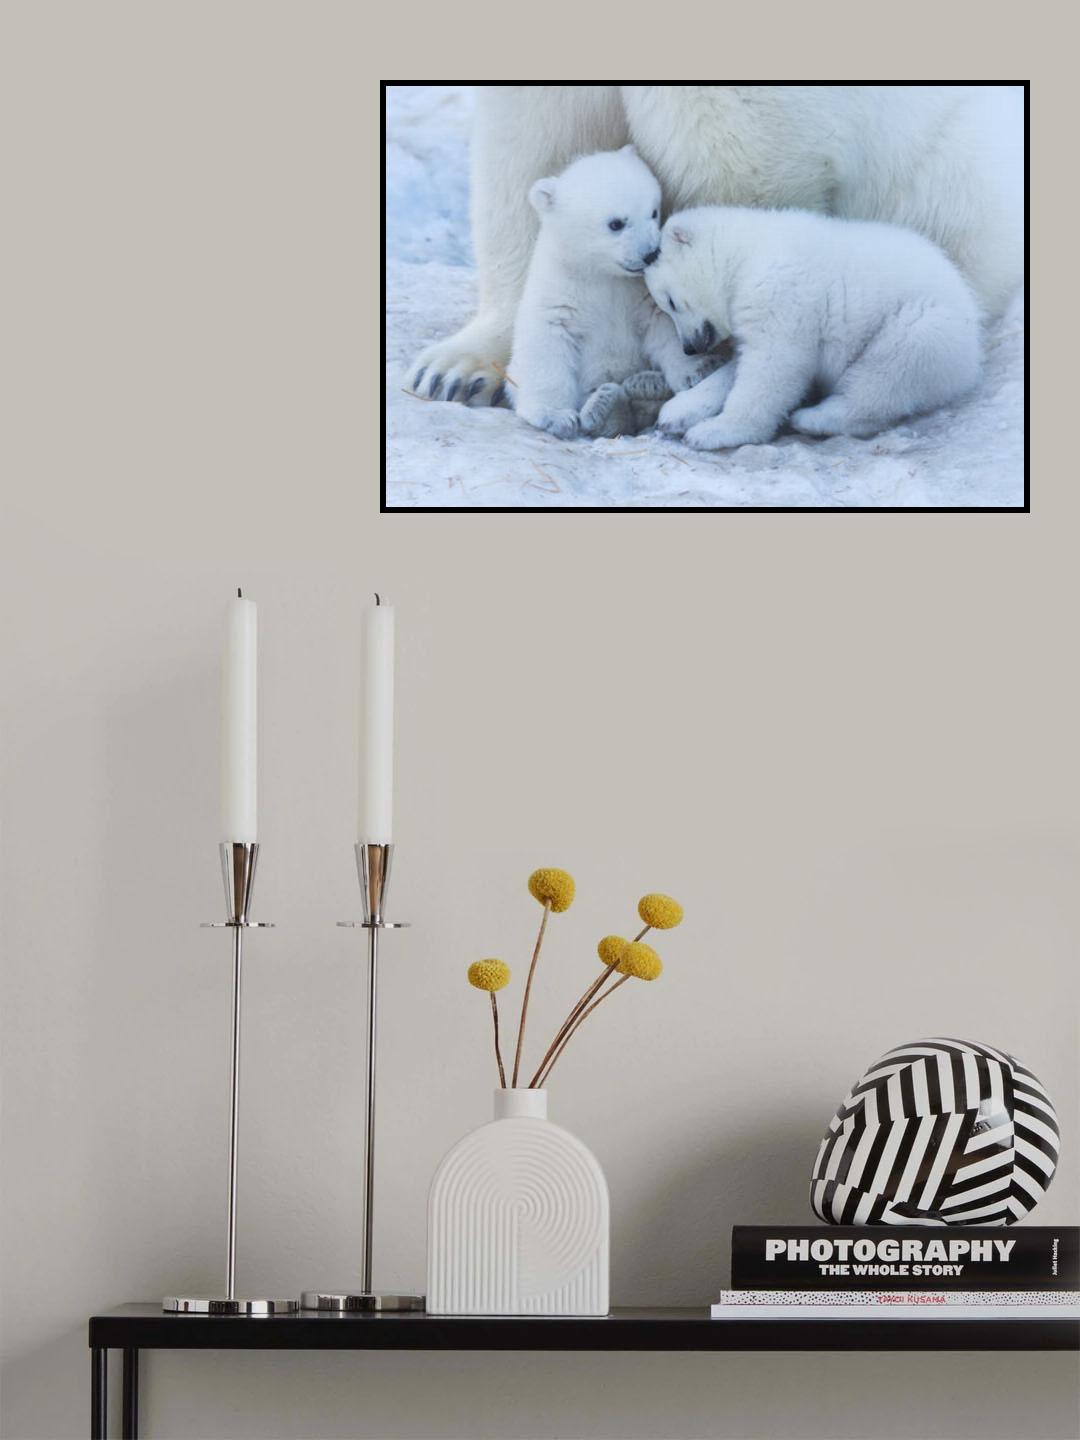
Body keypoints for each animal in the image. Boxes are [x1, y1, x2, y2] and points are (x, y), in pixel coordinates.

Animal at [507, 147, 714, 440]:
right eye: (616, 223)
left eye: (654, 212)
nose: (650, 253)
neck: (603, 275)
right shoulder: (559, 293)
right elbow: (546, 341)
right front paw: (554, 416)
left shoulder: (639, 293)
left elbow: (663, 325)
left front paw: (695, 370)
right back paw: (605, 406)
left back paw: (647, 387)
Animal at [644, 206, 983, 450]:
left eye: (671, 302)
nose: (689, 347)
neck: (748, 253)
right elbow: (739, 365)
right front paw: (679, 410)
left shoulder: (780, 294)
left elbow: (772, 368)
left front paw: (713, 431)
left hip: (923, 324)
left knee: (885, 375)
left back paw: (814, 417)